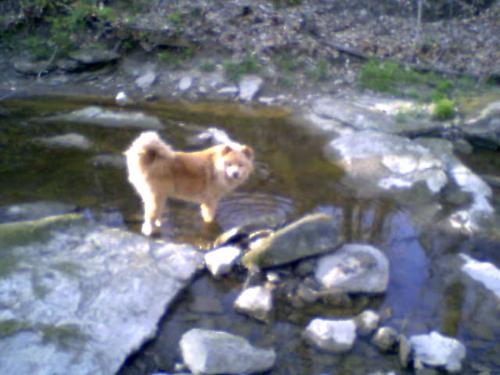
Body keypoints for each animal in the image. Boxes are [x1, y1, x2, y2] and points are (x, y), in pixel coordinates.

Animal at [125, 132, 254, 235]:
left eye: (240, 165)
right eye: (229, 164)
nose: (235, 173)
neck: (216, 168)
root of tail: (150, 157)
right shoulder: (210, 201)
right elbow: (209, 216)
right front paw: (211, 222)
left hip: (157, 197)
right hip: (157, 196)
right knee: (149, 217)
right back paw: (149, 231)